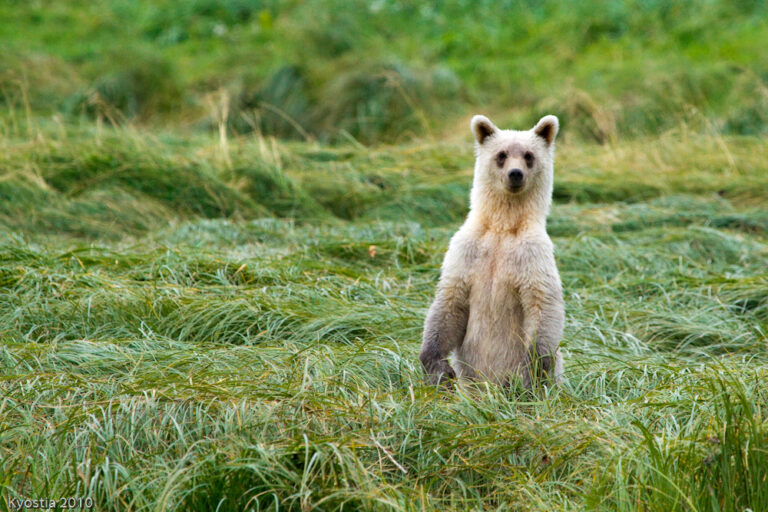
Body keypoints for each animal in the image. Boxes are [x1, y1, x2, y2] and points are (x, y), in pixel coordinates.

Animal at [419, 114, 565, 389]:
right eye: (501, 154)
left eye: (529, 155)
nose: (515, 173)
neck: (503, 227)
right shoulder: (467, 250)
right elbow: (448, 304)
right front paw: (438, 368)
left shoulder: (532, 255)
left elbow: (542, 305)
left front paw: (533, 371)